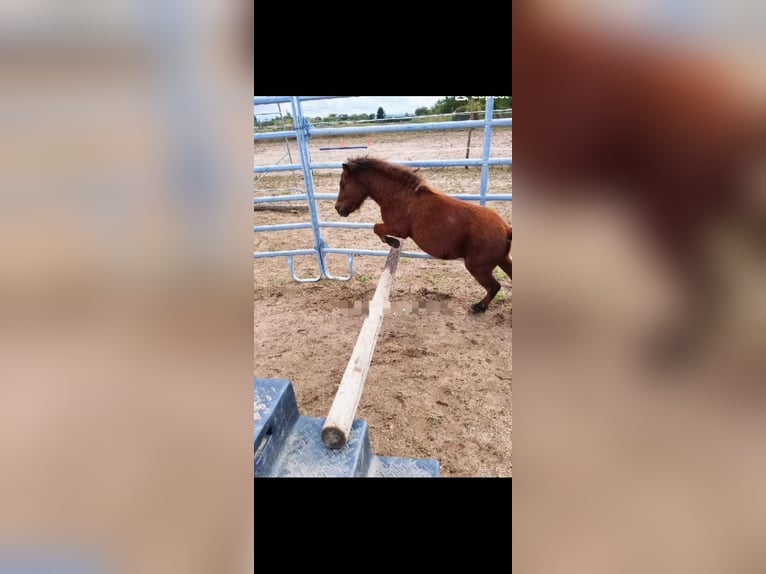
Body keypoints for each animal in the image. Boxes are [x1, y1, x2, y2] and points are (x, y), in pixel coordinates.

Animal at [338, 158, 512, 316]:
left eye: (343, 184)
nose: (338, 209)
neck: (399, 196)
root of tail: (506, 229)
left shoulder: (399, 229)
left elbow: (376, 228)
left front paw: (393, 242)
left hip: (478, 268)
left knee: (494, 286)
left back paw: (479, 307)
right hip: (502, 261)